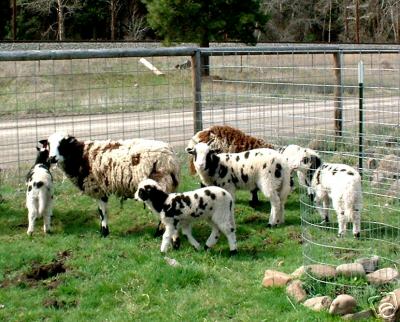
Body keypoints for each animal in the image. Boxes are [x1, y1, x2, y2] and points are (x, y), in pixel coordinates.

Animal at [42, 133, 180, 236]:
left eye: (63, 144)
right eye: (48, 144)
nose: (51, 158)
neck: (80, 155)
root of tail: (170, 158)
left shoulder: (97, 187)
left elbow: (102, 211)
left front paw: (104, 232)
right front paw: (104, 231)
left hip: (160, 181)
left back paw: (158, 232)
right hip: (168, 183)